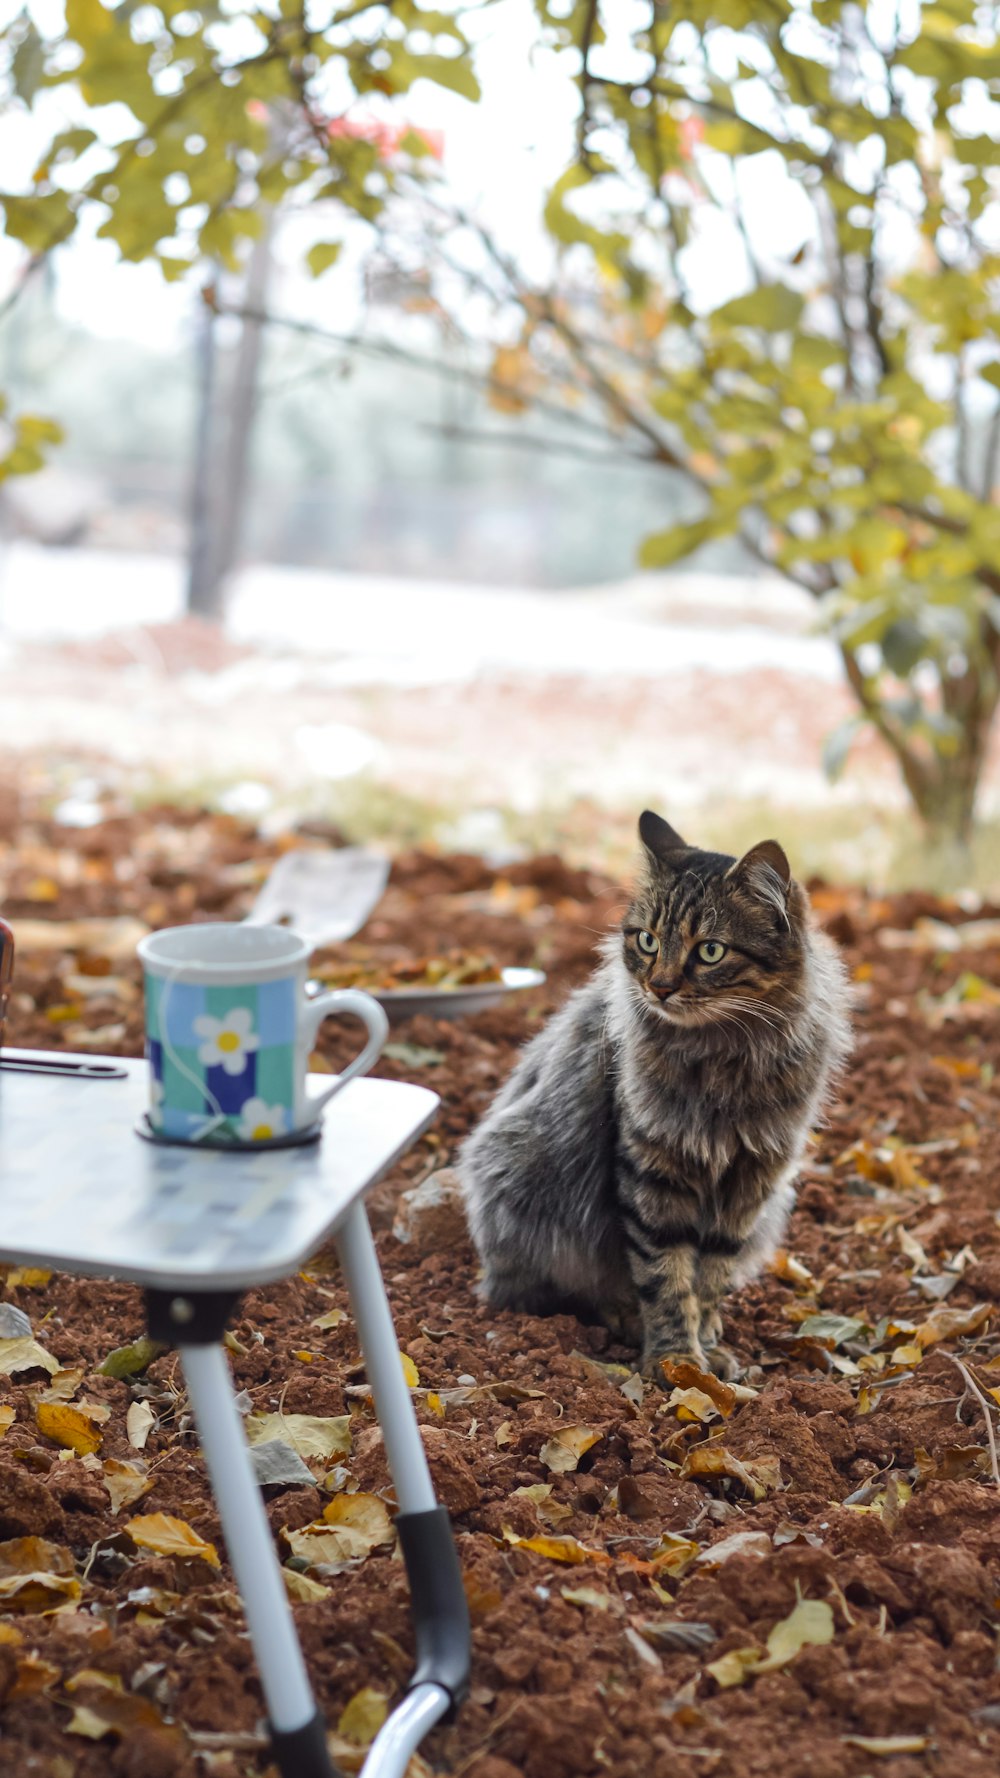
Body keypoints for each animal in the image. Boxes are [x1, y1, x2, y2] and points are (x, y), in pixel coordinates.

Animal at [459, 814, 846, 1379]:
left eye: (710, 950)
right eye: (646, 940)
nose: (659, 988)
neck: (721, 1057)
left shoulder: (749, 1178)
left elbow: (710, 1276)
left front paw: (704, 1345)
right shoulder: (654, 1169)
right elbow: (664, 1277)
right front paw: (676, 1361)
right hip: (521, 1179)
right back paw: (623, 1317)